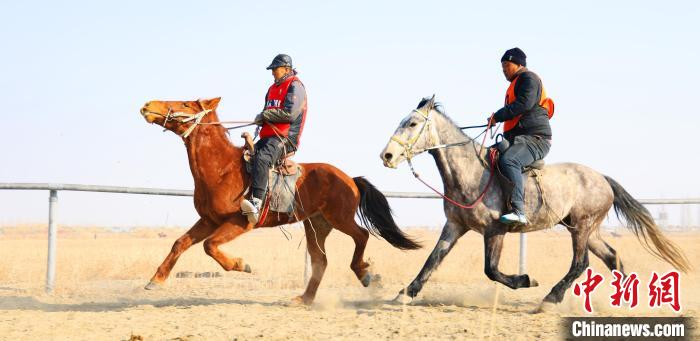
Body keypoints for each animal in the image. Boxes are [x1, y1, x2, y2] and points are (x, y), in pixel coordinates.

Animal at [139, 97, 418, 304]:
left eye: (186, 104)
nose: (148, 105)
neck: (222, 169)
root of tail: (349, 178)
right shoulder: (208, 220)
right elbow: (180, 243)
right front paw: (155, 280)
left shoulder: (241, 222)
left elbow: (209, 246)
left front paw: (242, 264)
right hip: (317, 225)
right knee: (321, 261)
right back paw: (304, 299)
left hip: (339, 218)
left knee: (361, 235)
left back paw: (364, 274)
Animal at [380, 95, 688, 310]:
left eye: (412, 123)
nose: (387, 156)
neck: (470, 172)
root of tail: (602, 178)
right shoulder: (454, 225)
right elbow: (432, 259)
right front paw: (405, 294)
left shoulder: (495, 231)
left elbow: (491, 270)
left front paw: (526, 280)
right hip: (588, 230)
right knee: (611, 257)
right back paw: (625, 301)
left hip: (581, 227)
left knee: (580, 262)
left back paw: (550, 299)